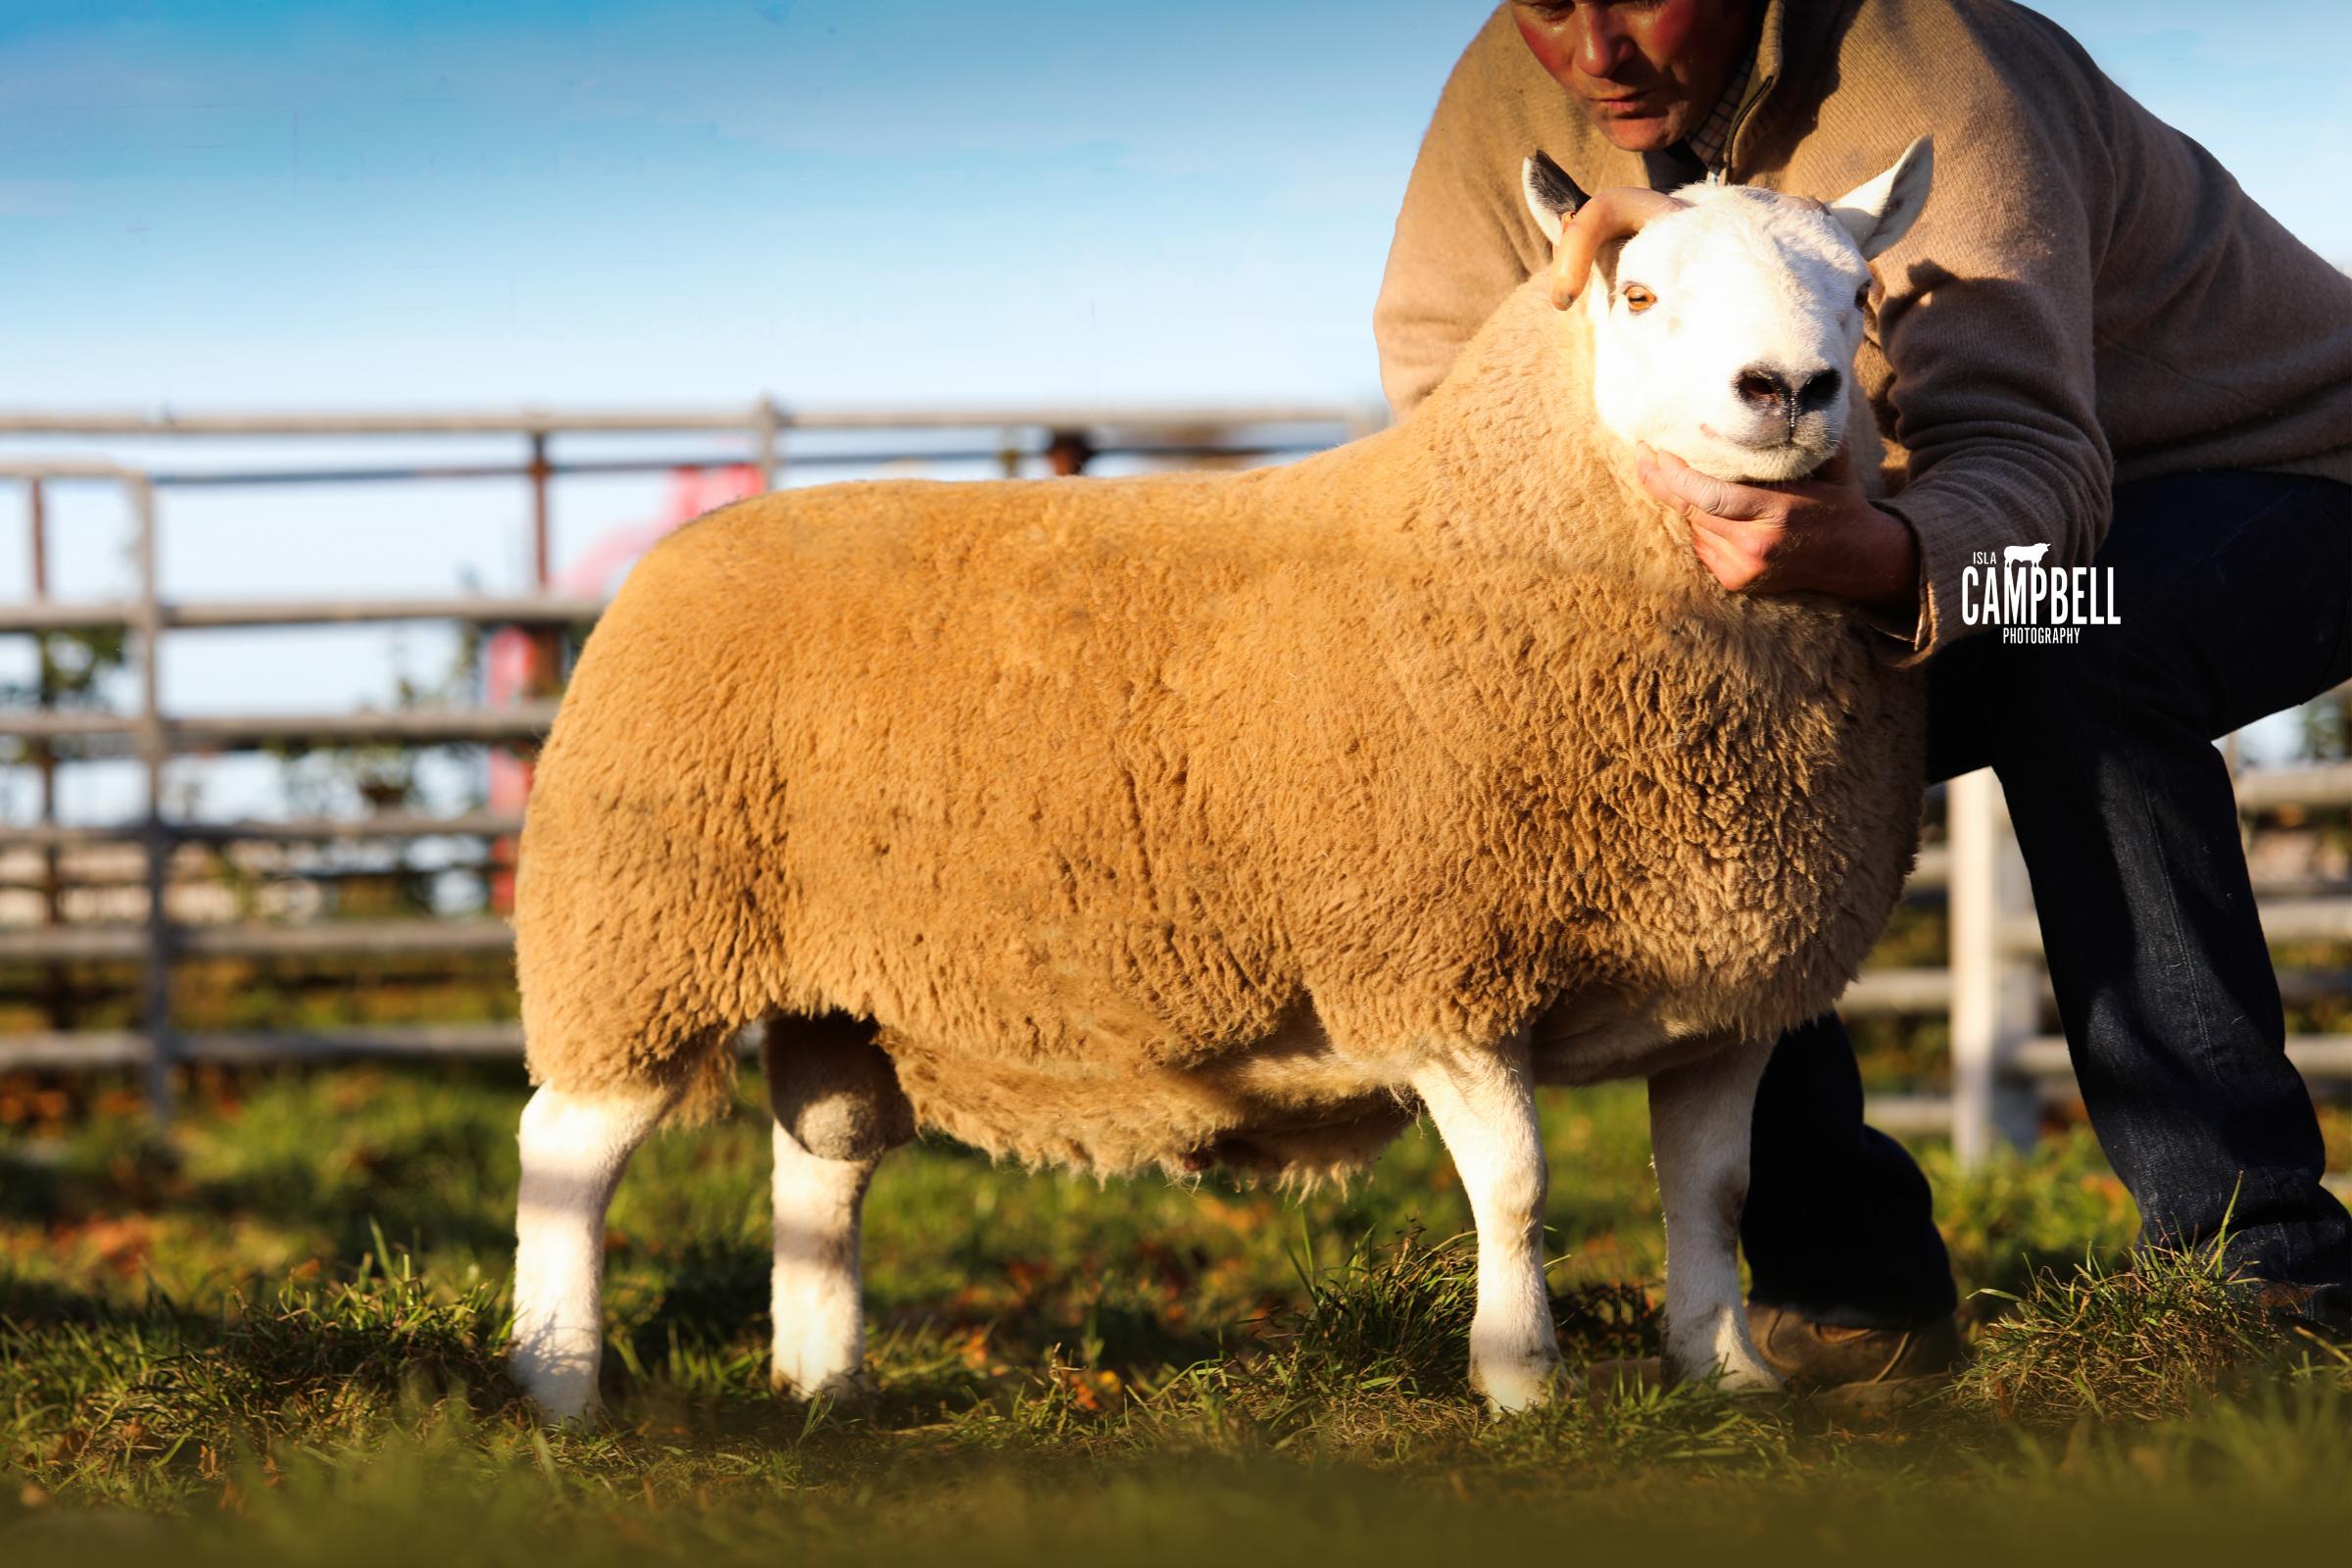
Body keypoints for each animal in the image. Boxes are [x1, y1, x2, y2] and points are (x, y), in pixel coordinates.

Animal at [519, 137, 1947, 1419]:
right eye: (1639, 295)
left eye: (1857, 294)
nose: (1790, 387)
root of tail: (675, 556)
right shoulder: (1435, 965)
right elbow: (1519, 1187)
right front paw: (1522, 1383)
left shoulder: (1727, 991)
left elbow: (1712, 1193)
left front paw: (1729, 1379)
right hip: (640, 935)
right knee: (563, 1157)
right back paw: (559, 1387)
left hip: (835, 984)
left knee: (823, 1165)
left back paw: (825, 1390)